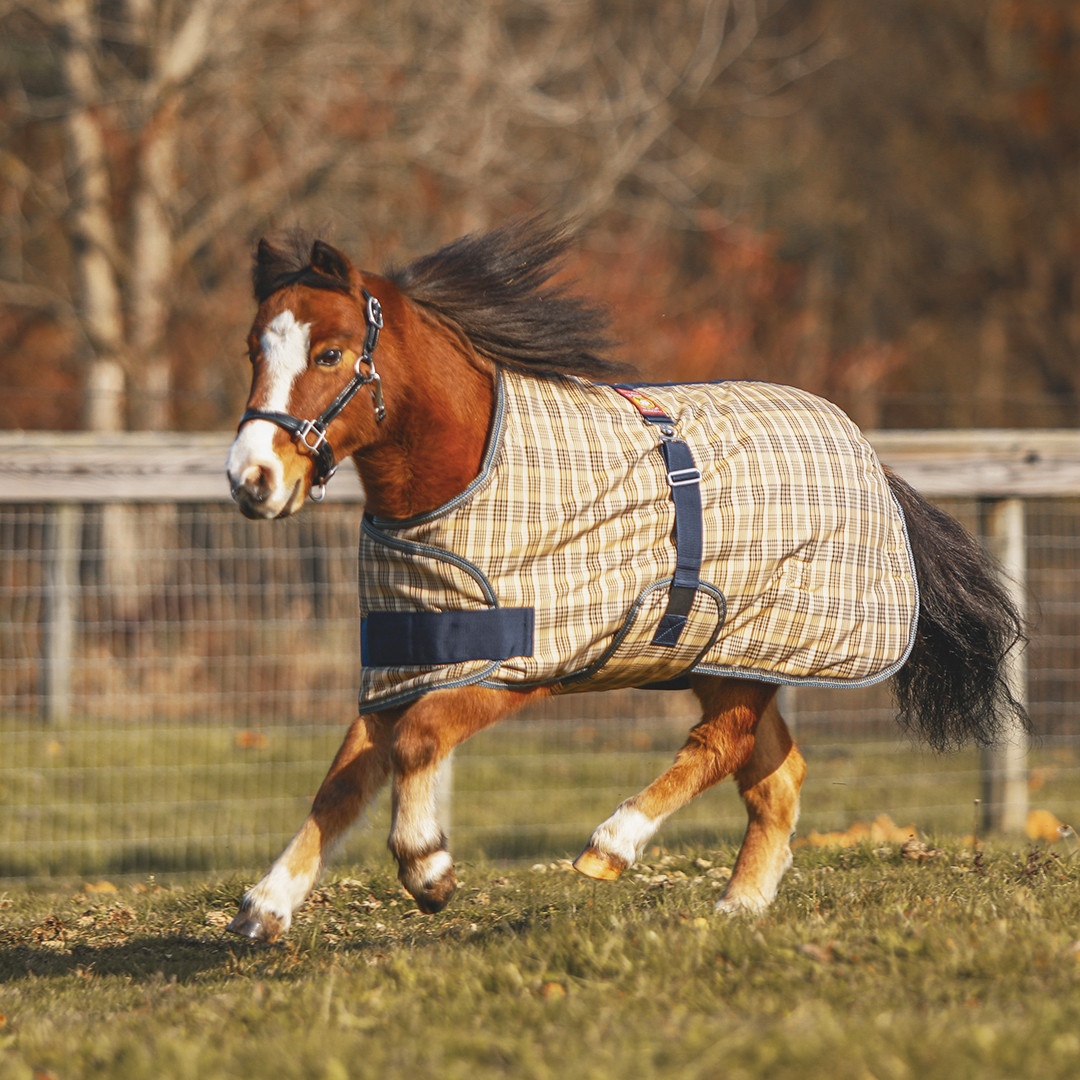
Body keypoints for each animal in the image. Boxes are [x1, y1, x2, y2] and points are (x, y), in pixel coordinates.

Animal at [225, 219, 1026, 942]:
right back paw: (738, 907)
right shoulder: (406, 661)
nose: (250, 479)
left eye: (329, 354)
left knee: (721, 746)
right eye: (253, 349)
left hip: (745, 656)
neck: (463, 480)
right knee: (774, 776)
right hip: (726, 662)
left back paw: (612, 845)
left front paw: (427, 866)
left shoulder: (522, 664)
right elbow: (344, 778)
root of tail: (871, 459)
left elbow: (418, 743)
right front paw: (266, 905)